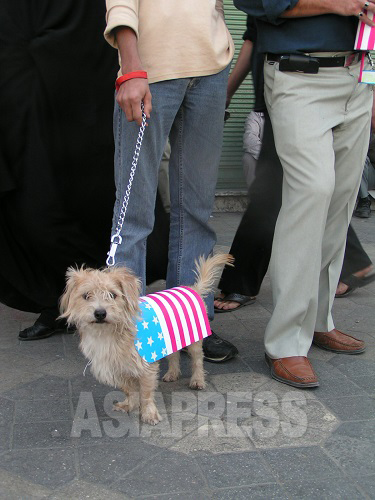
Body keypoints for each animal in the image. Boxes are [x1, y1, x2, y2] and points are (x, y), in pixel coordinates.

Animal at [60, 256, 234, 424]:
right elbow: (129, 389)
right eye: (86, 296)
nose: (100, 313)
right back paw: (172, 373)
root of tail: (191, 288)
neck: (111, 333)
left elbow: (145, 393)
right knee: (174, 355)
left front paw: (149, 413)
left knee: (197, 360)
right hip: (170, 339)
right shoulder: (117, 367)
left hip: (194, 341)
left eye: (112, 295)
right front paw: (129, 404)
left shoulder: (146, 365)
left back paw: (197, 380)